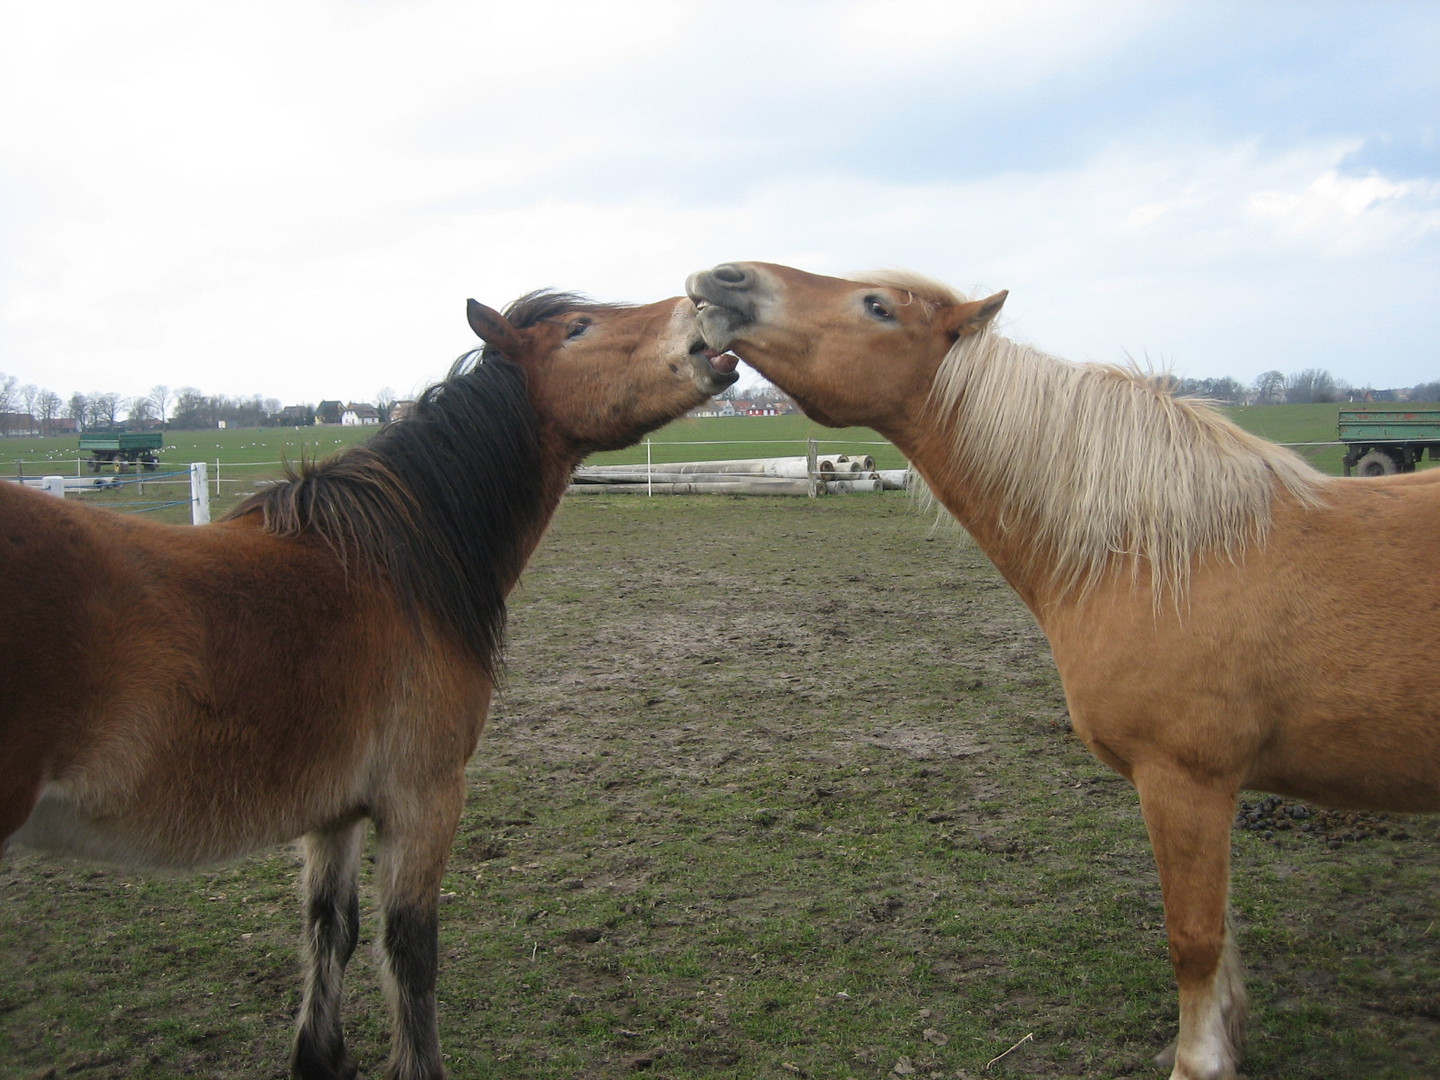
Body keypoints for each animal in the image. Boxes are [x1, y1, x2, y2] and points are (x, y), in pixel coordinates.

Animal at [0, 289, 737, 1080]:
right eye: (578, 328)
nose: (702, 305)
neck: (393, 568)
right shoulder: (423, 797)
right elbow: (410, 949)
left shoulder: (333, 809)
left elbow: (332, 929)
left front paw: (322, 1057)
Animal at [685, 262, 1440, 1080]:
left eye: (877, 306)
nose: (722, 278)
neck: (1156, 554)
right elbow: (1221, 932)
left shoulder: (1185, 780)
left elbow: (1194, 937)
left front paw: (1198, 1060)